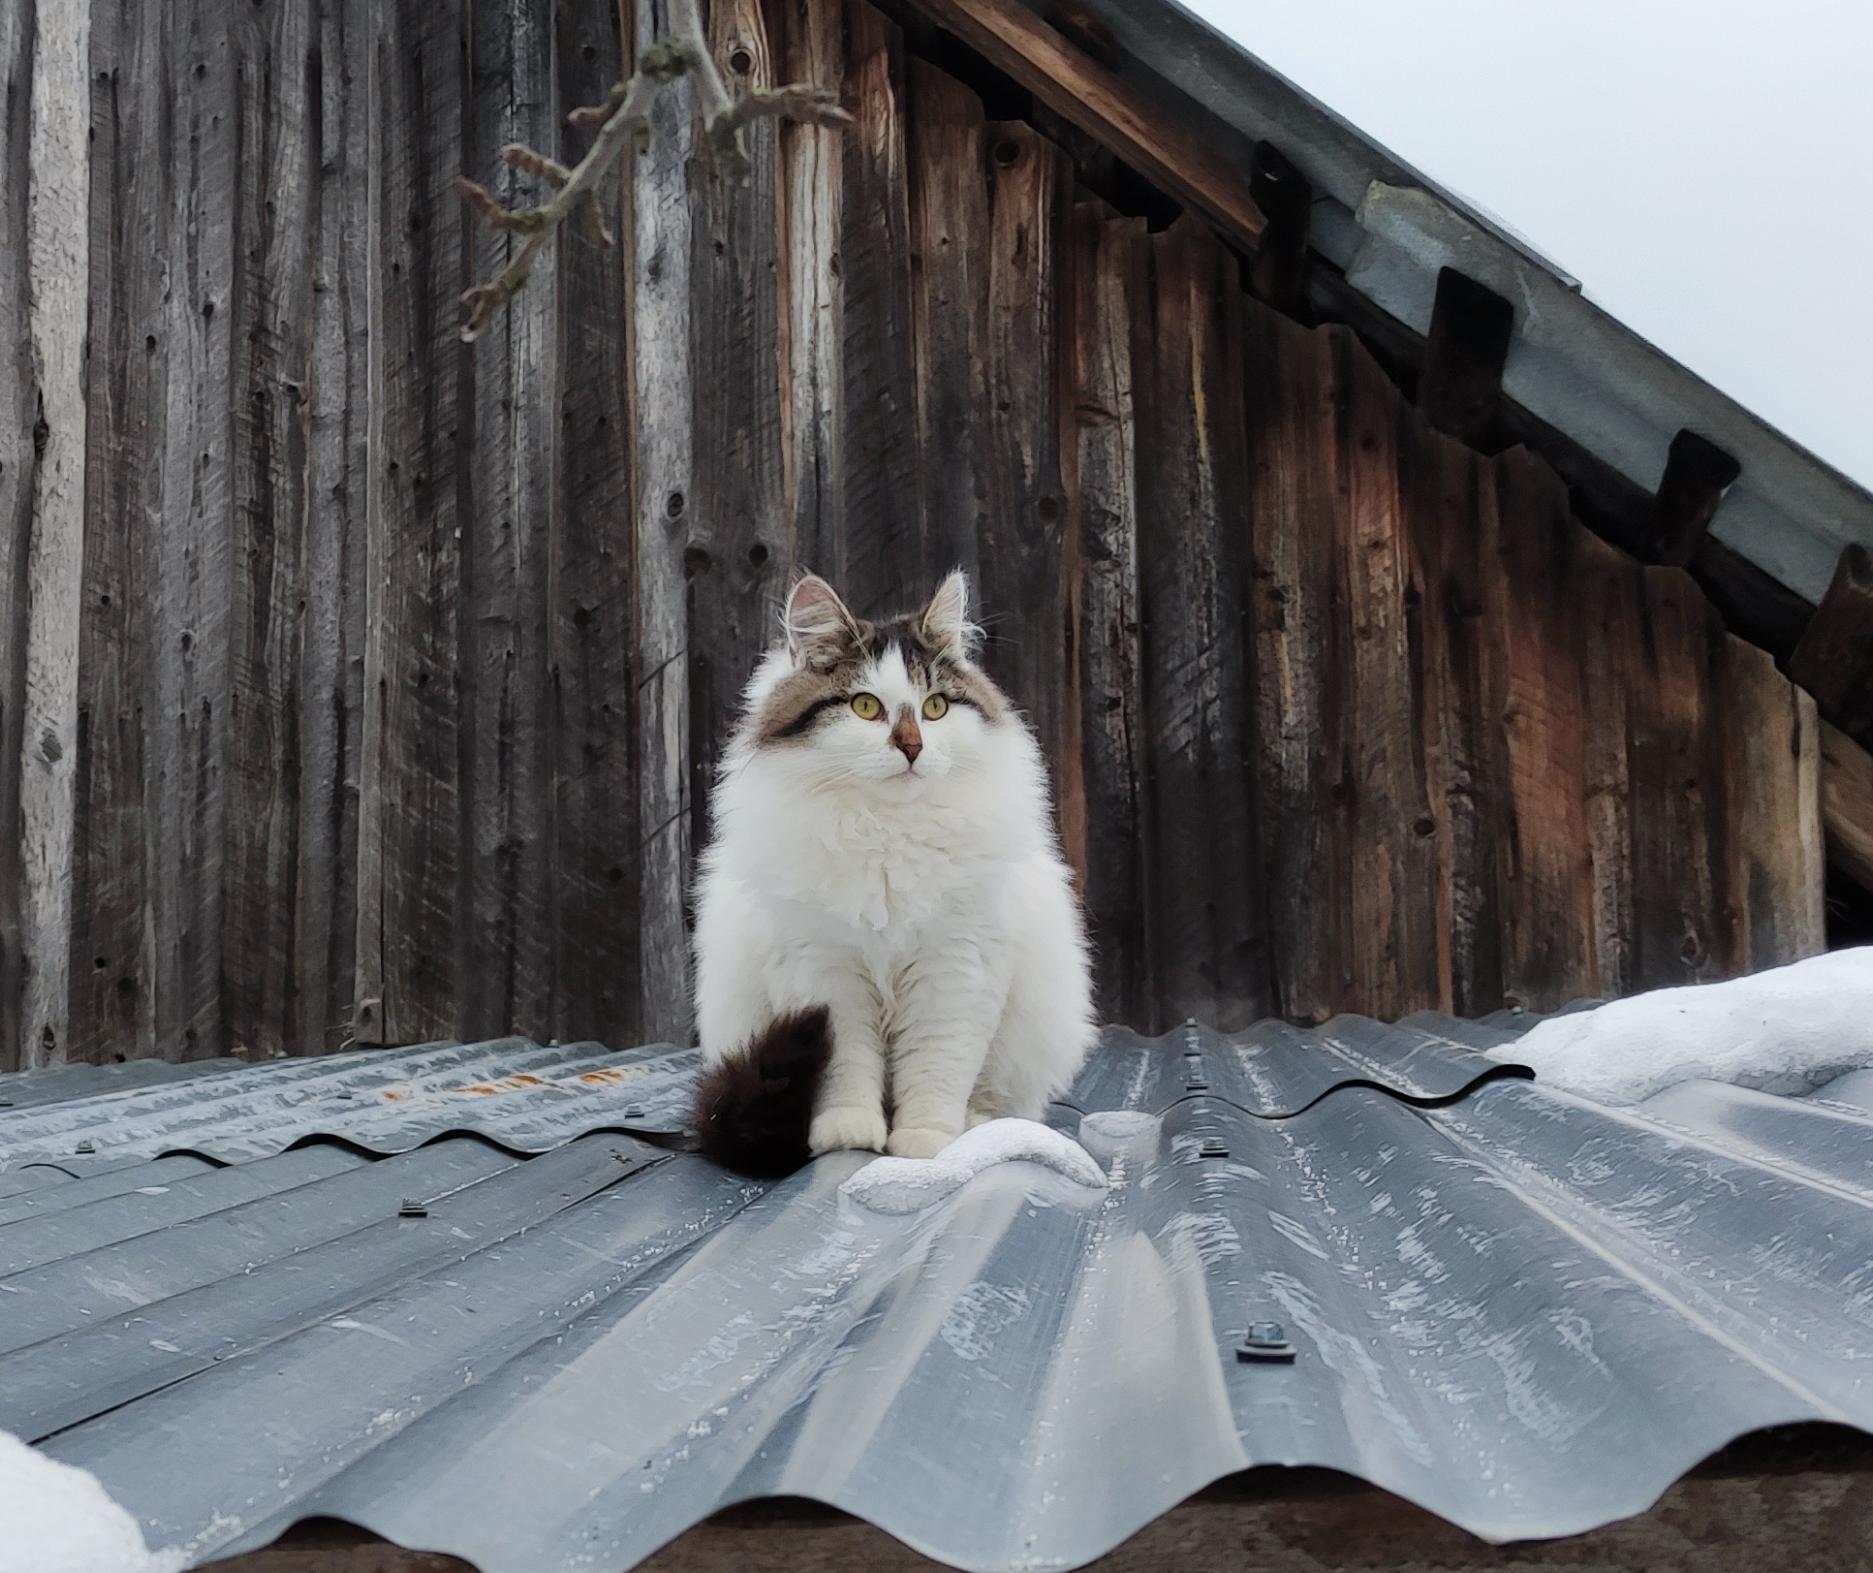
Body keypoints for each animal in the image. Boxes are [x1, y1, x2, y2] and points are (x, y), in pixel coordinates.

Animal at [689, 573, 1093, 1176]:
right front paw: (848, 1132)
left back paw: (975, 1123)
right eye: (865, 707)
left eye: (936, 707)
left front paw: (927, 1142)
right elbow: (845, 1069)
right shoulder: (825, 971)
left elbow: (937, 1067)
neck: (886, 832)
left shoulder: (956, 967)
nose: (912, 747)